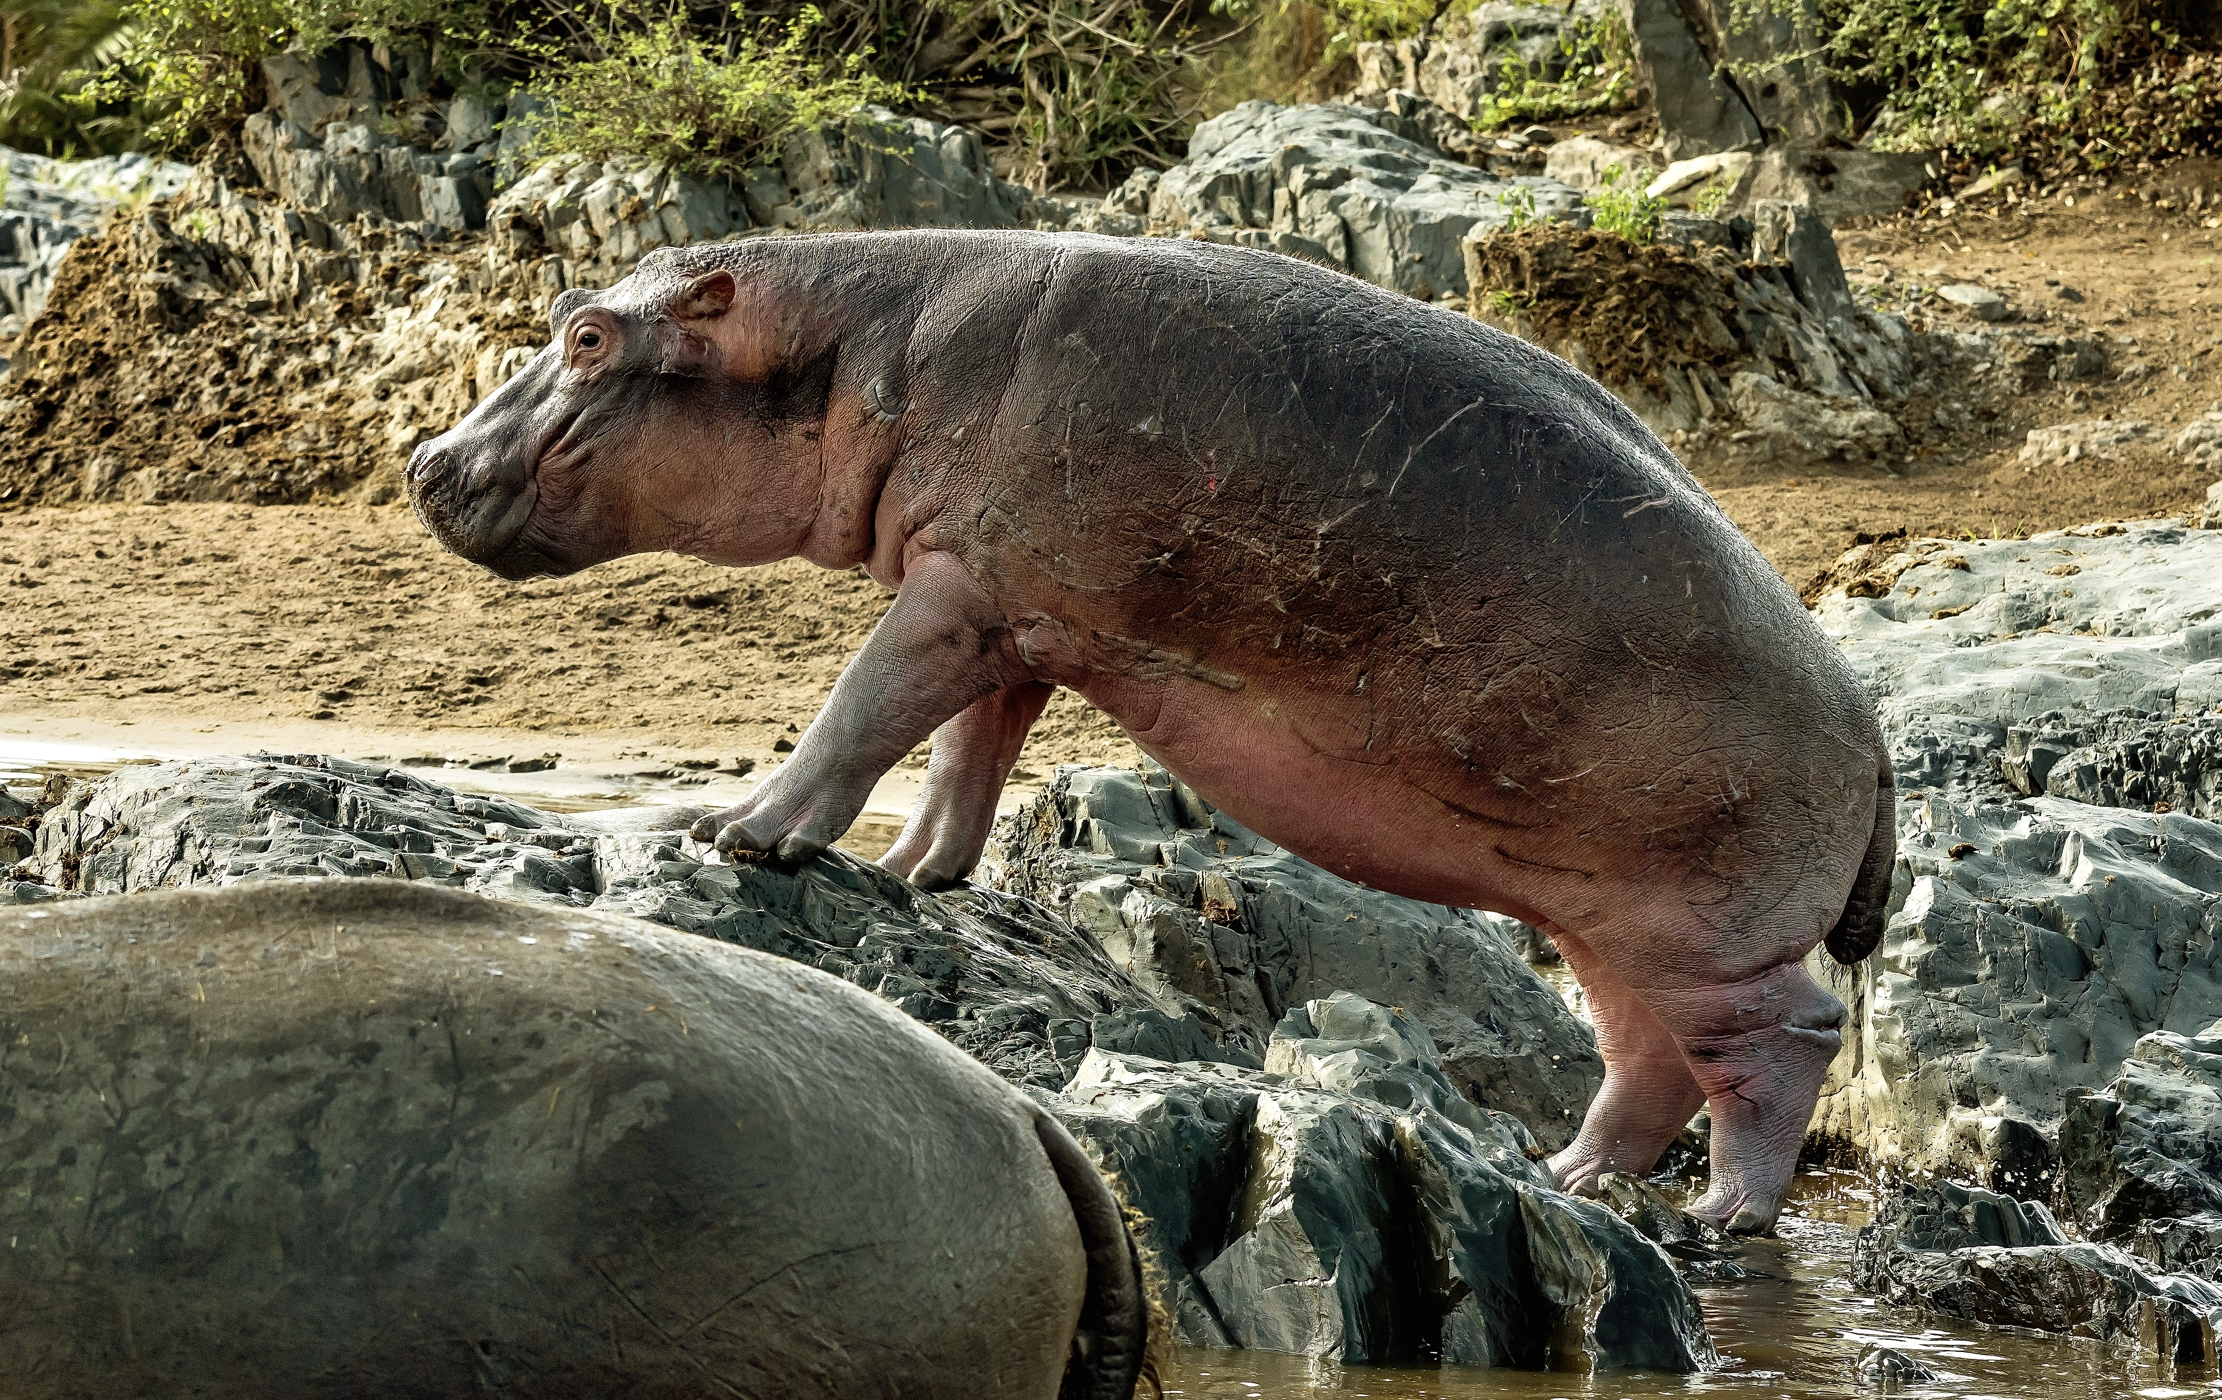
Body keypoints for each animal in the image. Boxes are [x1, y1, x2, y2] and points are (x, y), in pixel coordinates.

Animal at [408, 230, 1893, 1233]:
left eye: (588, 337)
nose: (423, 460)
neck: (844, 349)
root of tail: (1873, 733)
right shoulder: (999, 604)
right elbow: (964, 751)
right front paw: (912, 870)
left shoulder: (957, 589)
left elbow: (862, 706)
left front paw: (741, 834)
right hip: (1606, 916)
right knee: (1644, 1054)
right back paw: (1569, 1173)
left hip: (1708, 927)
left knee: (1787, 1036)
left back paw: (1723, 1215)